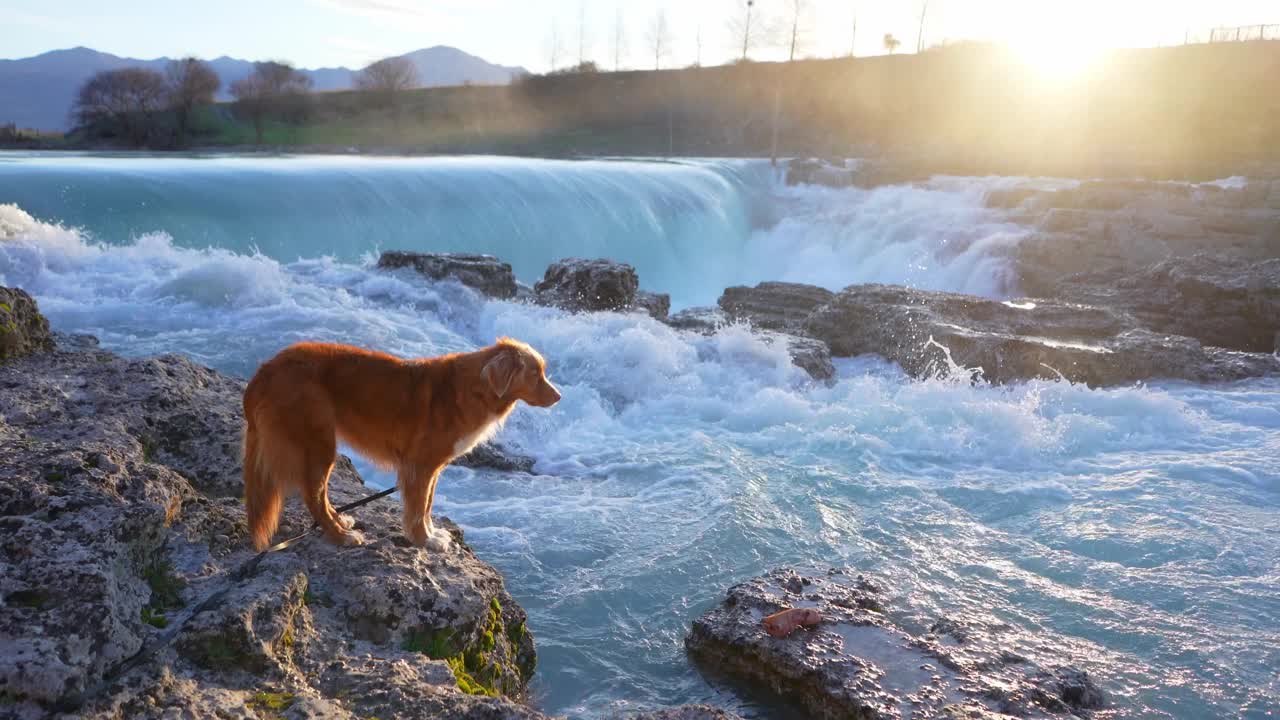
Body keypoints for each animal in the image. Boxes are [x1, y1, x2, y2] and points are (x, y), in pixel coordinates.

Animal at [241, 335, 558, 548]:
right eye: (535, 374)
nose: (559, 396)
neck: (476, 389)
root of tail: (265, 370)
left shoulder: (434, 467)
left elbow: (427, 504)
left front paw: (432, 534)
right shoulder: (420, 465)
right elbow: (418, 508)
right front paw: (424, 540)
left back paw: (341, 522)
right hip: (318, 442)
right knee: (314, 495)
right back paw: (341, 536)